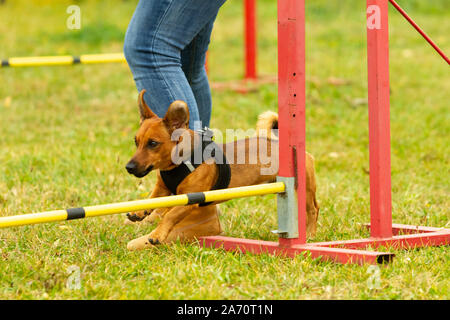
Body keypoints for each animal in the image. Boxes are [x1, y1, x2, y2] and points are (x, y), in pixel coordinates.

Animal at [125, 90, 318, 250]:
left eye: (153, 143)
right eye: (136, 141)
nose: (129, 167)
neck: (180, 163)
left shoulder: (190, 199)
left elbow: (170, 216)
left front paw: (157, 234)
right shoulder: (162, 188)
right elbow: (151, 200)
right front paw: (139, 212)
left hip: (305, 190)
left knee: (313, 210)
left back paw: (310, 235)